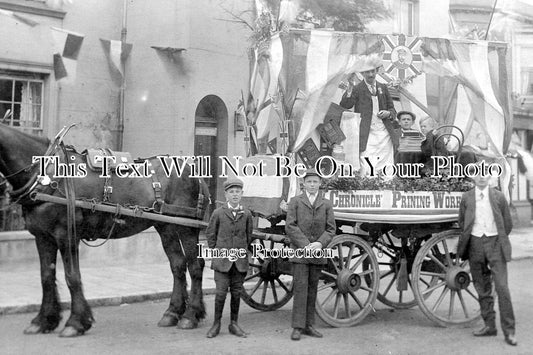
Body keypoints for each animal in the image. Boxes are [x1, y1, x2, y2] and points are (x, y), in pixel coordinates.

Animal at [0, 124, 209, 338]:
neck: (46, 176)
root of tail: (193, 171)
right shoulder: (43, 237)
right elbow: (46, 277)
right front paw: (43, 321)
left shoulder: (67, 235)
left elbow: (72, 277)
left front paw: (76, 322)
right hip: (166, 227)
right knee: (178, 265)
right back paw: (172, 313)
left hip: (187, 228)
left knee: (195, 266)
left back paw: (190, 315)